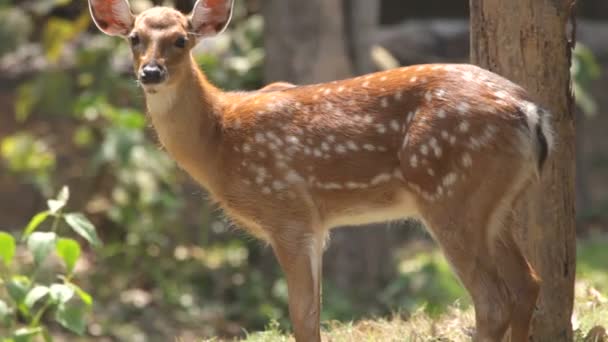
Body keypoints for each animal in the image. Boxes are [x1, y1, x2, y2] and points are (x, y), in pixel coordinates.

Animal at [88, 1, 552, 340]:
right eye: (134, 38)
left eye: (182, 40)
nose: (151, 72)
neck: (221, 139)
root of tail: (529, 110)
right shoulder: (314, 223)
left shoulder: (288, 213)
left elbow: (304, 315)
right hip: (495, 205)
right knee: (528, 282)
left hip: (450, 193)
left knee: (493, 300)